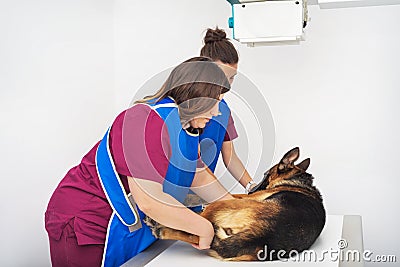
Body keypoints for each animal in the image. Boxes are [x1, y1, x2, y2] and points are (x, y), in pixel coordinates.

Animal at [144, 148, 324, 260]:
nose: (251, 189)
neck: (297, 181)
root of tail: (261, 236)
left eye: (265, 174)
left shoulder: (243, 198)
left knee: (200, 225)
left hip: (223, 206)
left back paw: (161, 226)